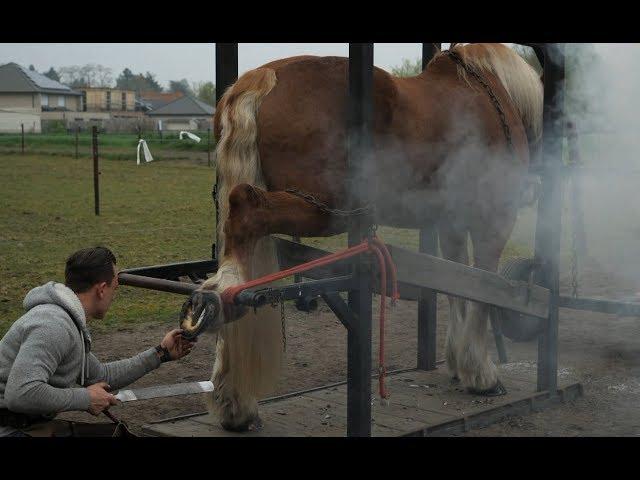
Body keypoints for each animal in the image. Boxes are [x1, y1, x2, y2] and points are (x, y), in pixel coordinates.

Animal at [182, 44, 544, 432]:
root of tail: (261, 78)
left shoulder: (452, 224)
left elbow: (457, 286)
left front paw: (459, 363)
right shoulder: (493, 219)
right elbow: (484, 290)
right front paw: (481, 374)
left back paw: (233, 400)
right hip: (324, 209)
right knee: (244, 222)